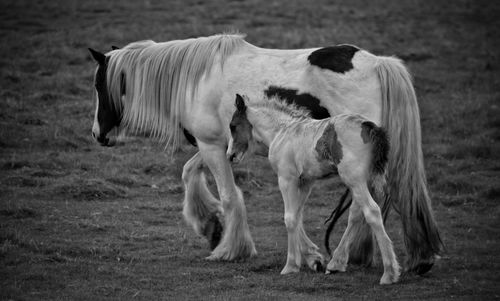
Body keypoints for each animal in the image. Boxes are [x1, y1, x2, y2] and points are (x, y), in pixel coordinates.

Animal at [229, 94, 400, 284]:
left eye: (233, 126)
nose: (230, 156)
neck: (280, 132)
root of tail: (368, 125)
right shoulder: (306, 181)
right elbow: (297, 216)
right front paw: (313, 258)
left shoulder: (286, 179)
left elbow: (289, 218)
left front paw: (291, 265)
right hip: (364, 181)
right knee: (356, 214)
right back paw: (336, 263)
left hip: (354, 180)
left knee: (372, 212)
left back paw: (389, 273)